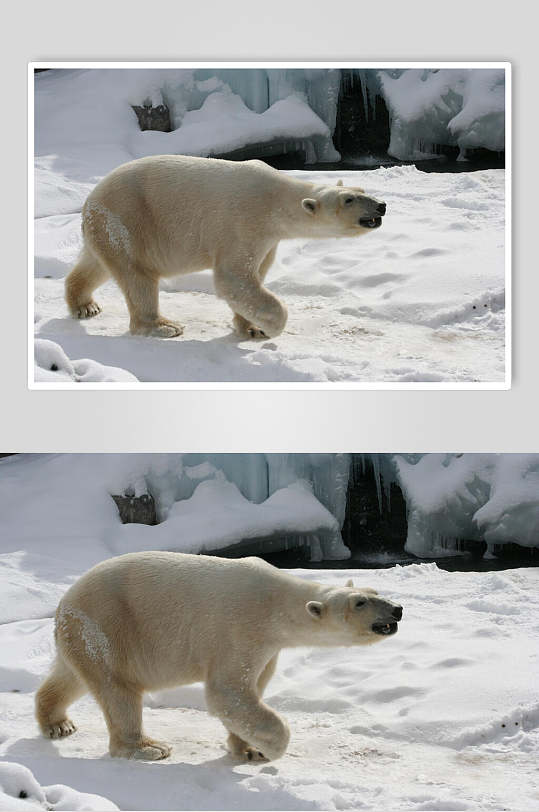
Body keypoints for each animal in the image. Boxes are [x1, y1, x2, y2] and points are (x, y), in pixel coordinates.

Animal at [35, 552, 402, 762]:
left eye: (374, 592)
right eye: (360, 602)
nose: (397, 609)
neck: (276, 603)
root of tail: (63, 603)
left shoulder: (267, 646)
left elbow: (252, 690)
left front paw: (249, 748)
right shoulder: (240, 628)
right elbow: (227, 693)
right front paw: (271, 748)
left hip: (83, 635)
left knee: (71, 677)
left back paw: (58, 723)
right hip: (107, 626)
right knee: (118, 691)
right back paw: (148, 748)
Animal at [64, 155, 386, 339]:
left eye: (362, 191)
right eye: (348, 199)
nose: (381, 206)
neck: (275, 199)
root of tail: (89, 200)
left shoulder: (268, 238)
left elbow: (255, 276)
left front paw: (251, 327)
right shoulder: (244, 222)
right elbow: (233, 278)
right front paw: (269, 327)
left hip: (107, 228)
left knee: (97, 265)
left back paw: (85, 305)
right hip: (128, 220)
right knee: (137, 276)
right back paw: (163, 326)